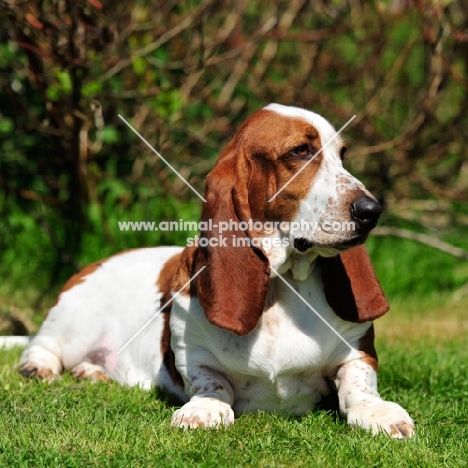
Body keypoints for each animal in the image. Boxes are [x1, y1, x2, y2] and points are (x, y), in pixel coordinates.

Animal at [16, 104, 414, 436]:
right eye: (300, 151)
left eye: (342, 155)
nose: (371, 210)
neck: (283, 284)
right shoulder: (194, 354)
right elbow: (211, 381)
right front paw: (204, 410)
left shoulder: (358, 352)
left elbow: (359, 384)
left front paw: (380, 412)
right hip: (72, 320)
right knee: (41, 346)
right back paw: (38, 368)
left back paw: (92, 371)